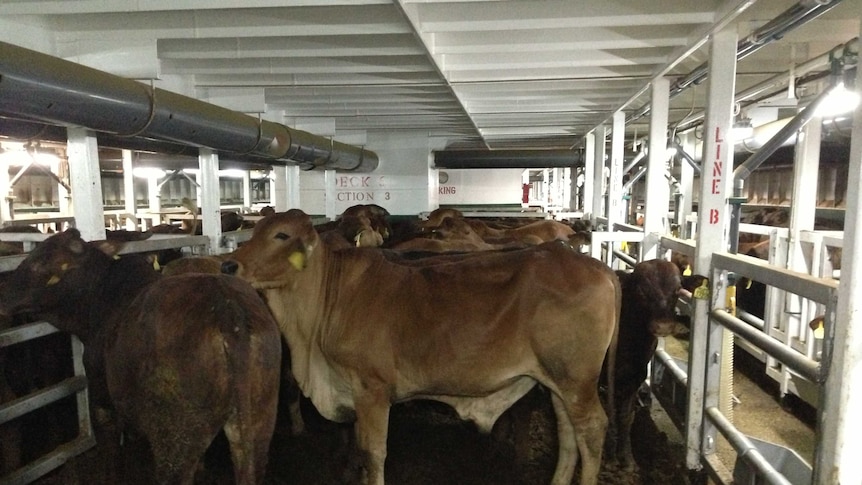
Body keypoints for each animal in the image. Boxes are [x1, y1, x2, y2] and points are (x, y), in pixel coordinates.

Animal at [0, 230, 282, 484]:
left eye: (39, 261)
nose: (4, 294)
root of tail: (228, 310)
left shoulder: (102, 403)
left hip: (175, 439)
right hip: (257, 421)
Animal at [224, 210, 620, 484]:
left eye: (281, 234)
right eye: (254, 232)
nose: (230, 265)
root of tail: (595, 266)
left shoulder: (372, 390)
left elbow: (373, 453)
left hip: (576, 380)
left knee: (592, 429)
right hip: (559, 381)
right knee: (568, 434)